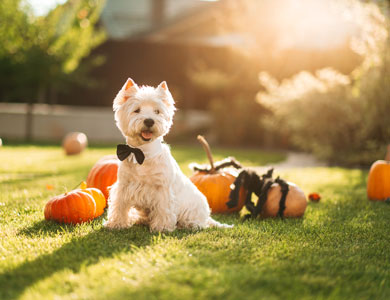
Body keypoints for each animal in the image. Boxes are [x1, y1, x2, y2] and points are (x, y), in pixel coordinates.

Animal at [104, 78, 232, 232]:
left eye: (157, 111)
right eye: (137, 110)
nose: (149, 121)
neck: (143, 154)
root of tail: (208, 217)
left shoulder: (162, 189)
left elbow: (163, 209)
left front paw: (162, 228)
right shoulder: (124, 185)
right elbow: (119, 206)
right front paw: (116, 224)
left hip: (193, 210)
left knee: (197, 223)